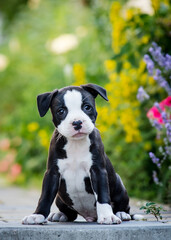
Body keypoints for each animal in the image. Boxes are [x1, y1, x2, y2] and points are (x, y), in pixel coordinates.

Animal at [21, 83, 131, 224]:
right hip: (60, 198)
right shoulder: (52, 173)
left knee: (124, 205)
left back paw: (122, 213)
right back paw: (60, 215)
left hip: (119, 185)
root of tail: (90, 216)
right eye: (61, 111)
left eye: (87, 107)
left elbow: (102, 195)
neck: (76, 144)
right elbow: (45, 196)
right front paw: (37, 215)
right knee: (71, 214)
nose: (77, 122)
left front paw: (107, 216)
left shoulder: (98, 171)